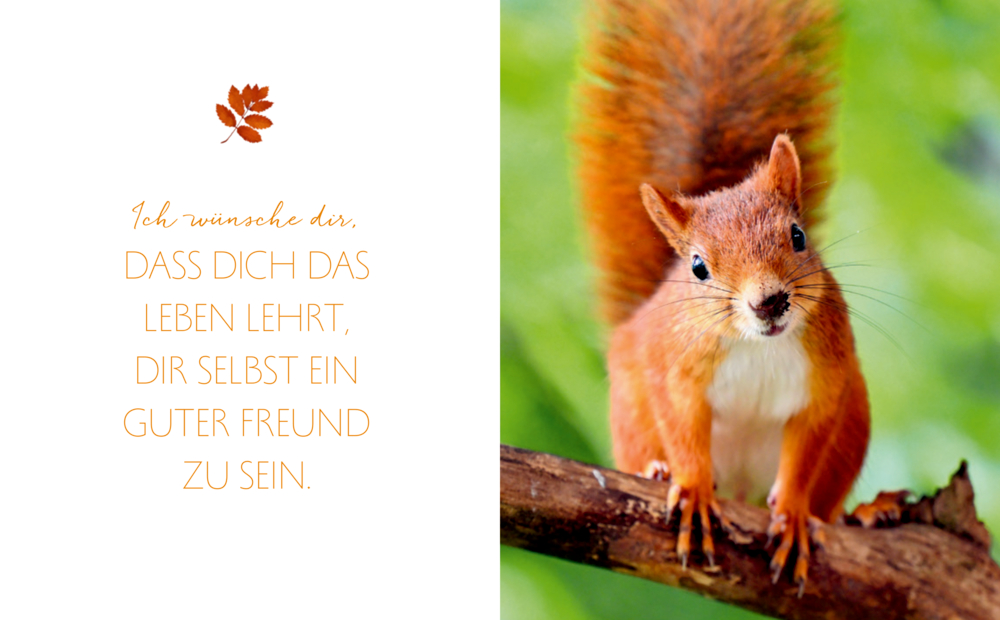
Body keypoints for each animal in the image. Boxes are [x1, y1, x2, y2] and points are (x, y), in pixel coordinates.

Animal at [576, 0, 900, 591]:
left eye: (798, 236)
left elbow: (805, 452)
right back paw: (656, 469)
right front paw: (691, 486)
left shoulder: (827, 381)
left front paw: (792, 513)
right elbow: (683, 427)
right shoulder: (675, 369)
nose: (768, 302)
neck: (759, 345)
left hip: (855, 422)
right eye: (699, 267)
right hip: (629, 408)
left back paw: (861, 513)